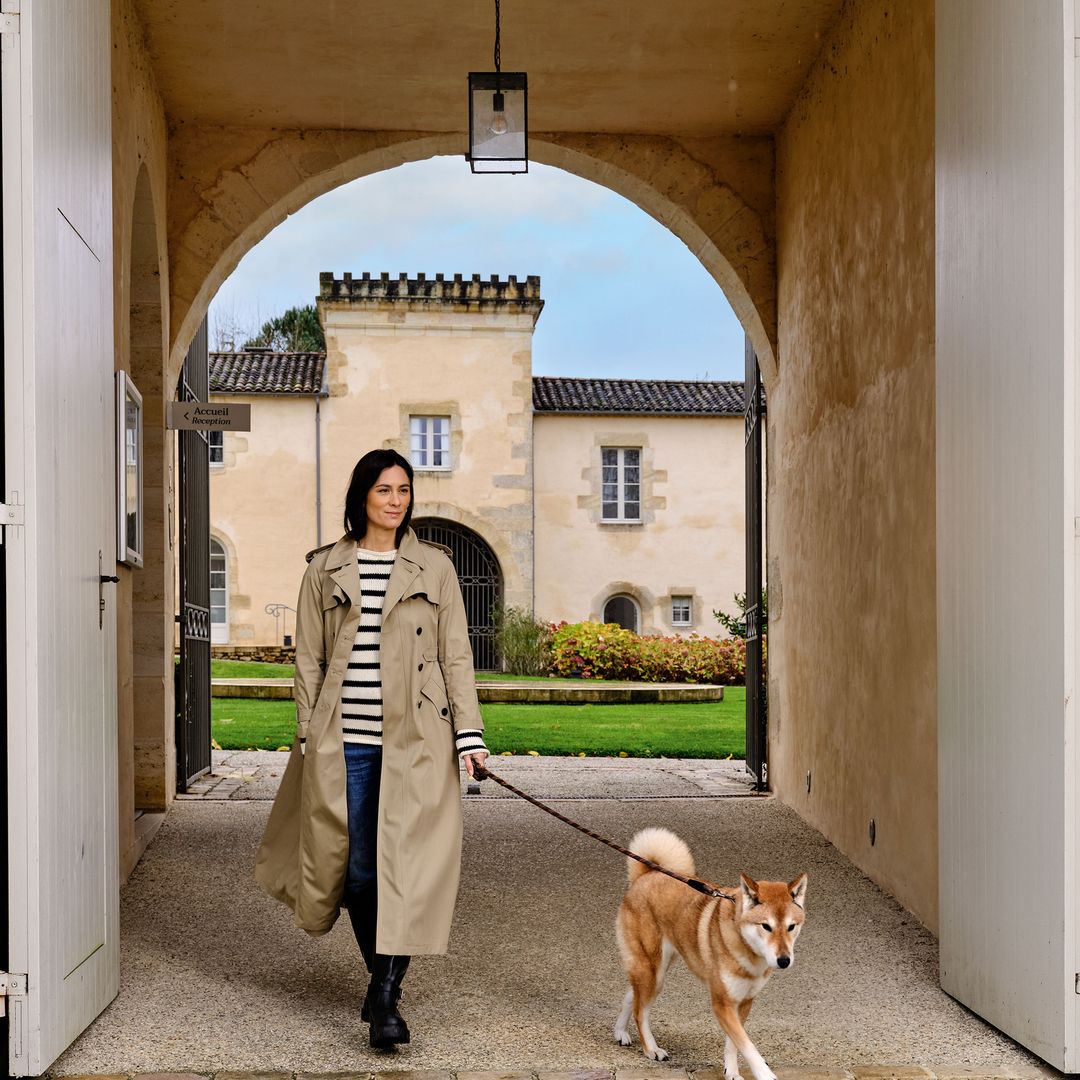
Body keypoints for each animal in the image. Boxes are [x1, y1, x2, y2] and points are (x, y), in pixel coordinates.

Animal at [613, 829, 807, 1075]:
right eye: (766, 926)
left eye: (792, 927)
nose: (784, 960)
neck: (749, 954)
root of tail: (645, 875)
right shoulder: (722, 1003)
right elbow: (748, 1047)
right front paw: (764, 1074)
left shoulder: (743, 1002)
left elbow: (733, 1044)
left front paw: (731, 1073)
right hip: (652, 970)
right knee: (641, 1010)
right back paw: (651, 1049)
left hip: (654, 970)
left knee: (633, 995)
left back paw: (620, 1032)